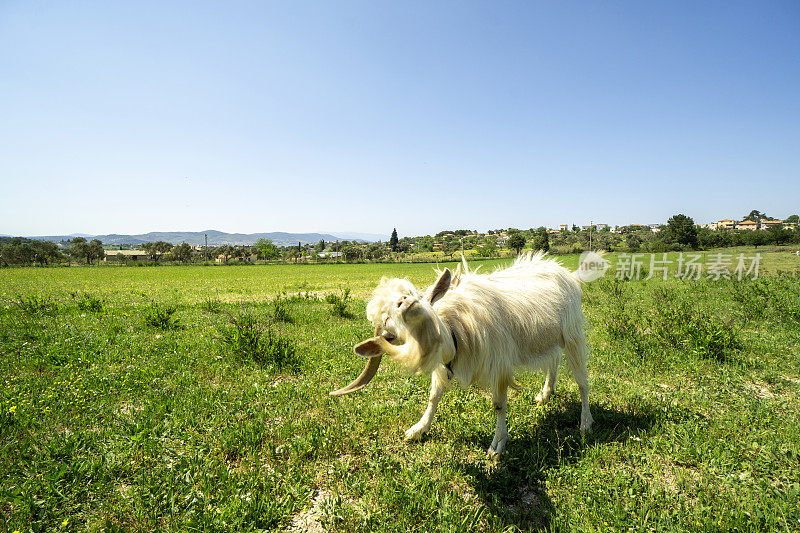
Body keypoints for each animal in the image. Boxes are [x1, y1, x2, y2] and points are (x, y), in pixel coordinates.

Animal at [330, 251, 592, 456]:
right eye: (388, 331)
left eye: (419, 296)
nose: (404, 301)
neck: (457, 330)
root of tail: (566, 273)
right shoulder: (444, 367)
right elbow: (434, 396)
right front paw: (419, 428)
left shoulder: (499, 365)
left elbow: (498, 405)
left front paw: (497, 444)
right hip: (549, 337)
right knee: (554, 359)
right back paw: (546, 394)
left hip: (572, 333)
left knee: (582, 382)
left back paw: (585, 423)